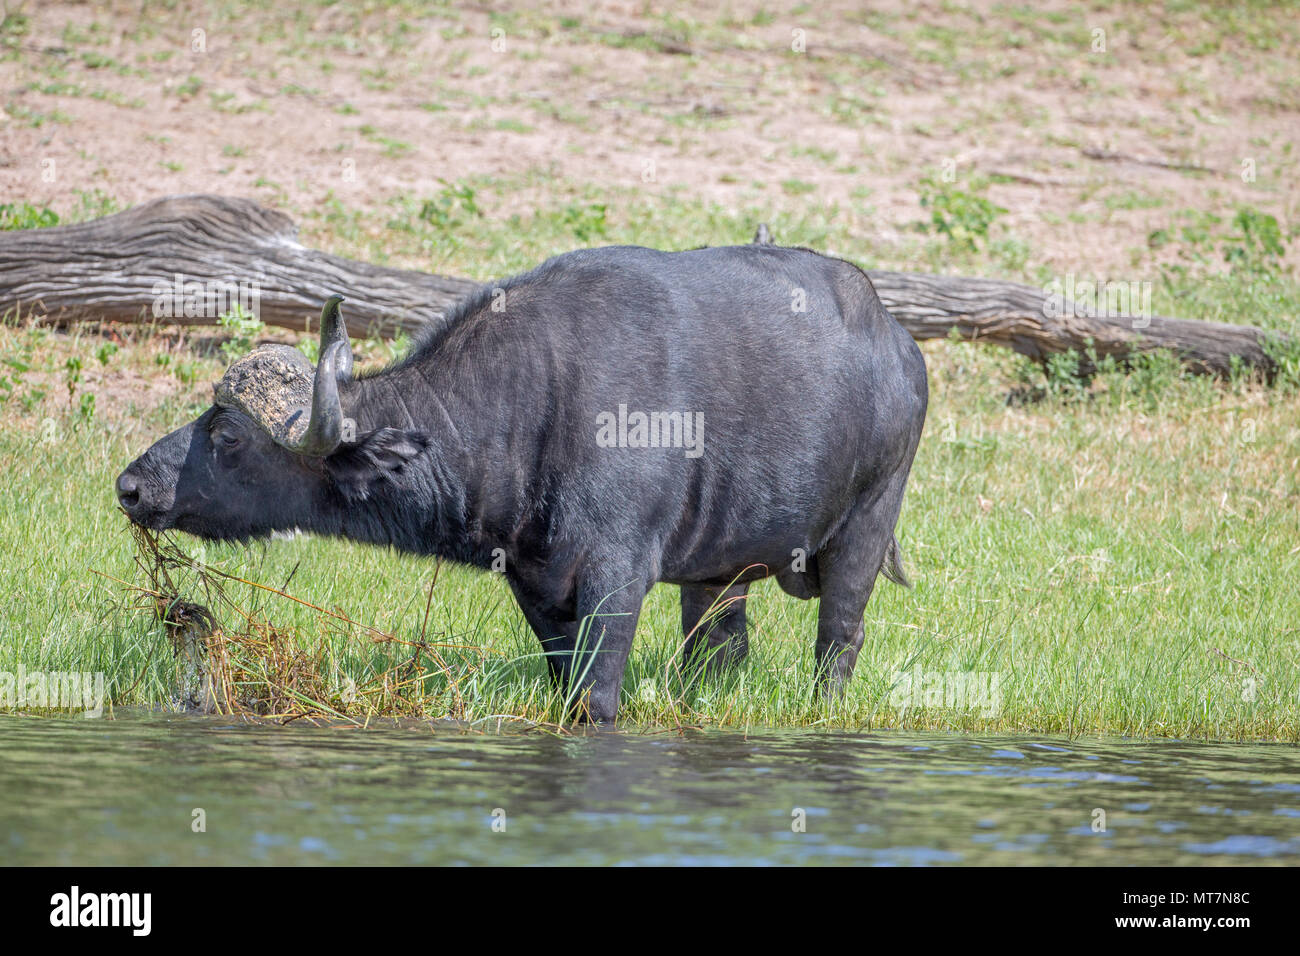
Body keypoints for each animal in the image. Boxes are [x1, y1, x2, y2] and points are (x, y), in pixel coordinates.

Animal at [116, 244, 928, 722]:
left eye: (226, 437)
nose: (131, 486)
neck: (533, 406)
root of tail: (900, 344)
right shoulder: (536, 585)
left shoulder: (615, 577)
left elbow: (597, 698)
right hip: (718, 572)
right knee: (720, 648)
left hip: (867, 526)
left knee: (839, 637)